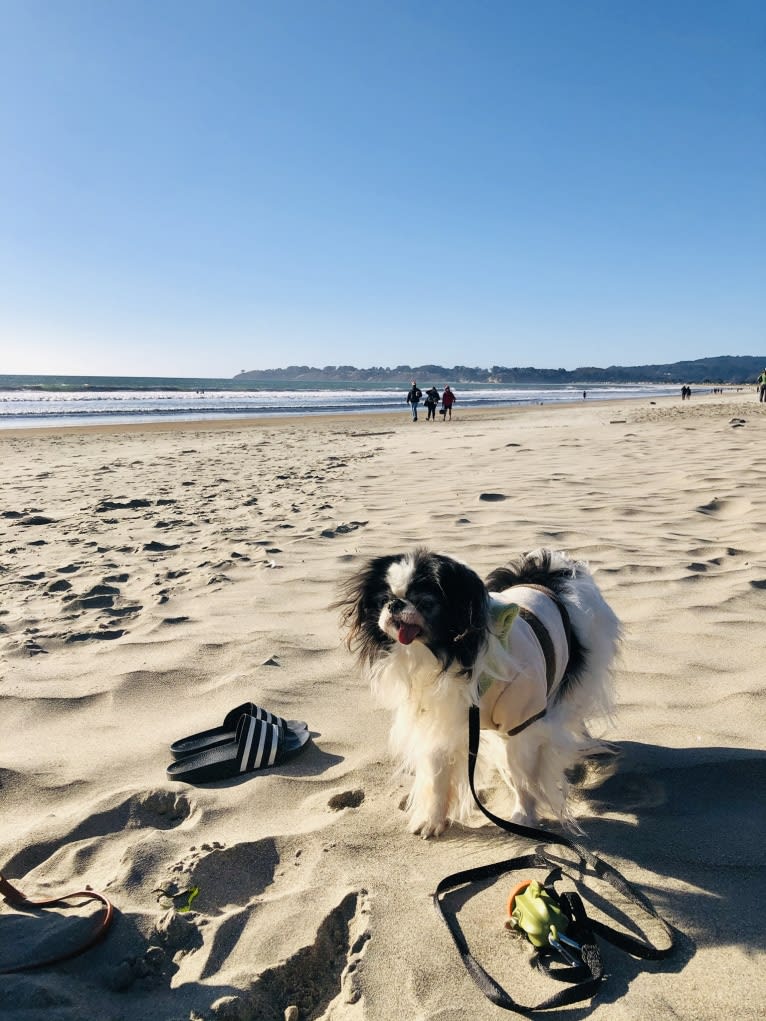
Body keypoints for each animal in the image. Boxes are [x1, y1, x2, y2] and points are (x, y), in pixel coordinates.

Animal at [339, 551, 620, 837]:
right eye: (382, 601)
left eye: (424, 602)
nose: (395, 604)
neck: (447, 657)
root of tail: (546, 572)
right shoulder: (440, 721)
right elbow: (438, 777)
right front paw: (432, 821)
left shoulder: (521, 721)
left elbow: (522, 777)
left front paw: (524, 817)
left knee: (573, 714)